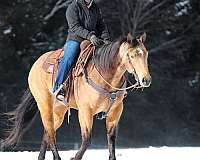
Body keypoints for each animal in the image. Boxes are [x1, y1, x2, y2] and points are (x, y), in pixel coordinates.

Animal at [1, 32, 152, 160]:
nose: (146, 79)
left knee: (47, 133)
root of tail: (37, 64)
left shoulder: (116, 111)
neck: (103, 75)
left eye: (145, 54)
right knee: (50, 133)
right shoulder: (85, 111)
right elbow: (86, 140)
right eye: (131, 56)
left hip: (59, 111)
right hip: (45, 106)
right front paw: (74, 157)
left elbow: (112, 139)